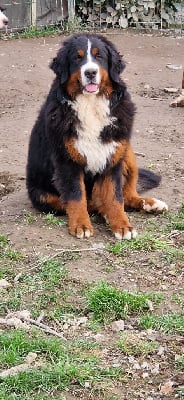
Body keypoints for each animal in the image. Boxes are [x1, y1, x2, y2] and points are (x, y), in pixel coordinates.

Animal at [26, 33, 168, 238]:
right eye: (77, 58)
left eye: (99, 56)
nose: (91, 72)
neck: (91, 105)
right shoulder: (67, 161)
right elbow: (76, 197)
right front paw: (81, 224)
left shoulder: (113, 157)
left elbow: (115, 197)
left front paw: (122, 225)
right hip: (41, 194)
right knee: (85, 202)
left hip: (127, 152)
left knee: (127, 195)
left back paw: (150, 204)